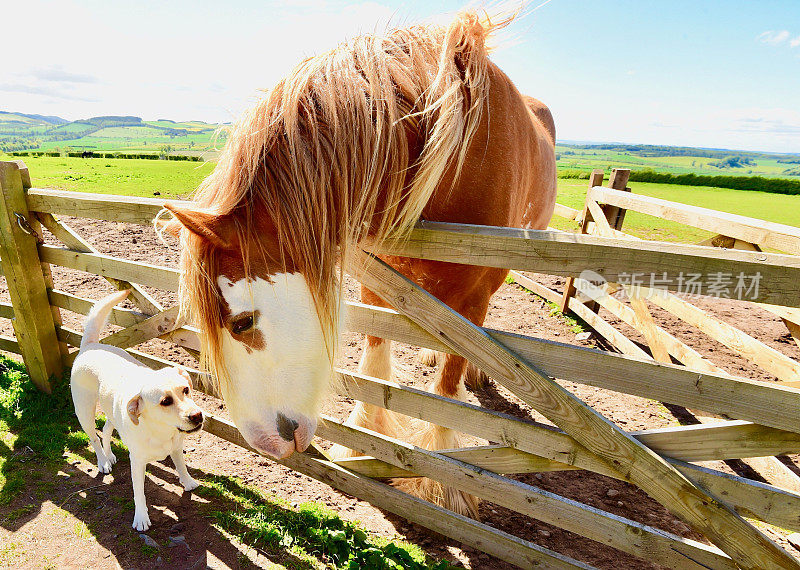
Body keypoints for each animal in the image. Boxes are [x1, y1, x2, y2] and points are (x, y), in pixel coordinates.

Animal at [71, 288, 206, 528]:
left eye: (186, 390)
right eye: (165, 401)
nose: (198, 416)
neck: (160, 431)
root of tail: (89, 346)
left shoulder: (176, 447)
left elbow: (181, 466)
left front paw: (188, 482)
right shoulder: (137, 462)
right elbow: (139, 492)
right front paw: (141, 517)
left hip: (113, 411)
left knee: (106, 429)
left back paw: (109, 454)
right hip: (84, 410)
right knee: (94, 437)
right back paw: (103, 461)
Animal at [165, 12, 556, 516]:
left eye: (242, 323)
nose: (262, 441)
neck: (446, 153)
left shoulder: (474, 295)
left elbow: (448, 388)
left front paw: (445, 483)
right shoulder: (380, 275)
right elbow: (375, 359)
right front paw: (365, 437)